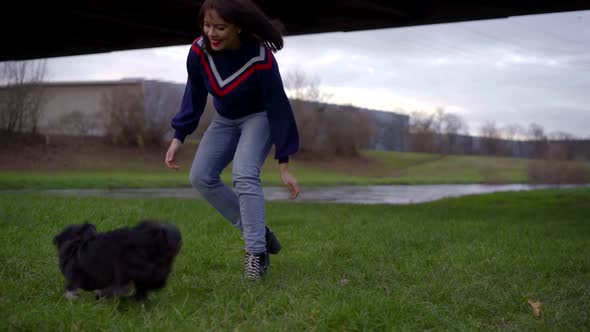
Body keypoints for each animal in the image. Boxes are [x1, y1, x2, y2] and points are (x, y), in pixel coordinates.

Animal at [53, 220, 183, 300]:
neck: (75, 244)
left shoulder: (74, 276)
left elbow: (71, 289)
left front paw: (71, 297)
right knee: (143, 289)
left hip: (124, 264)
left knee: (122, 286)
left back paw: (106, 295)